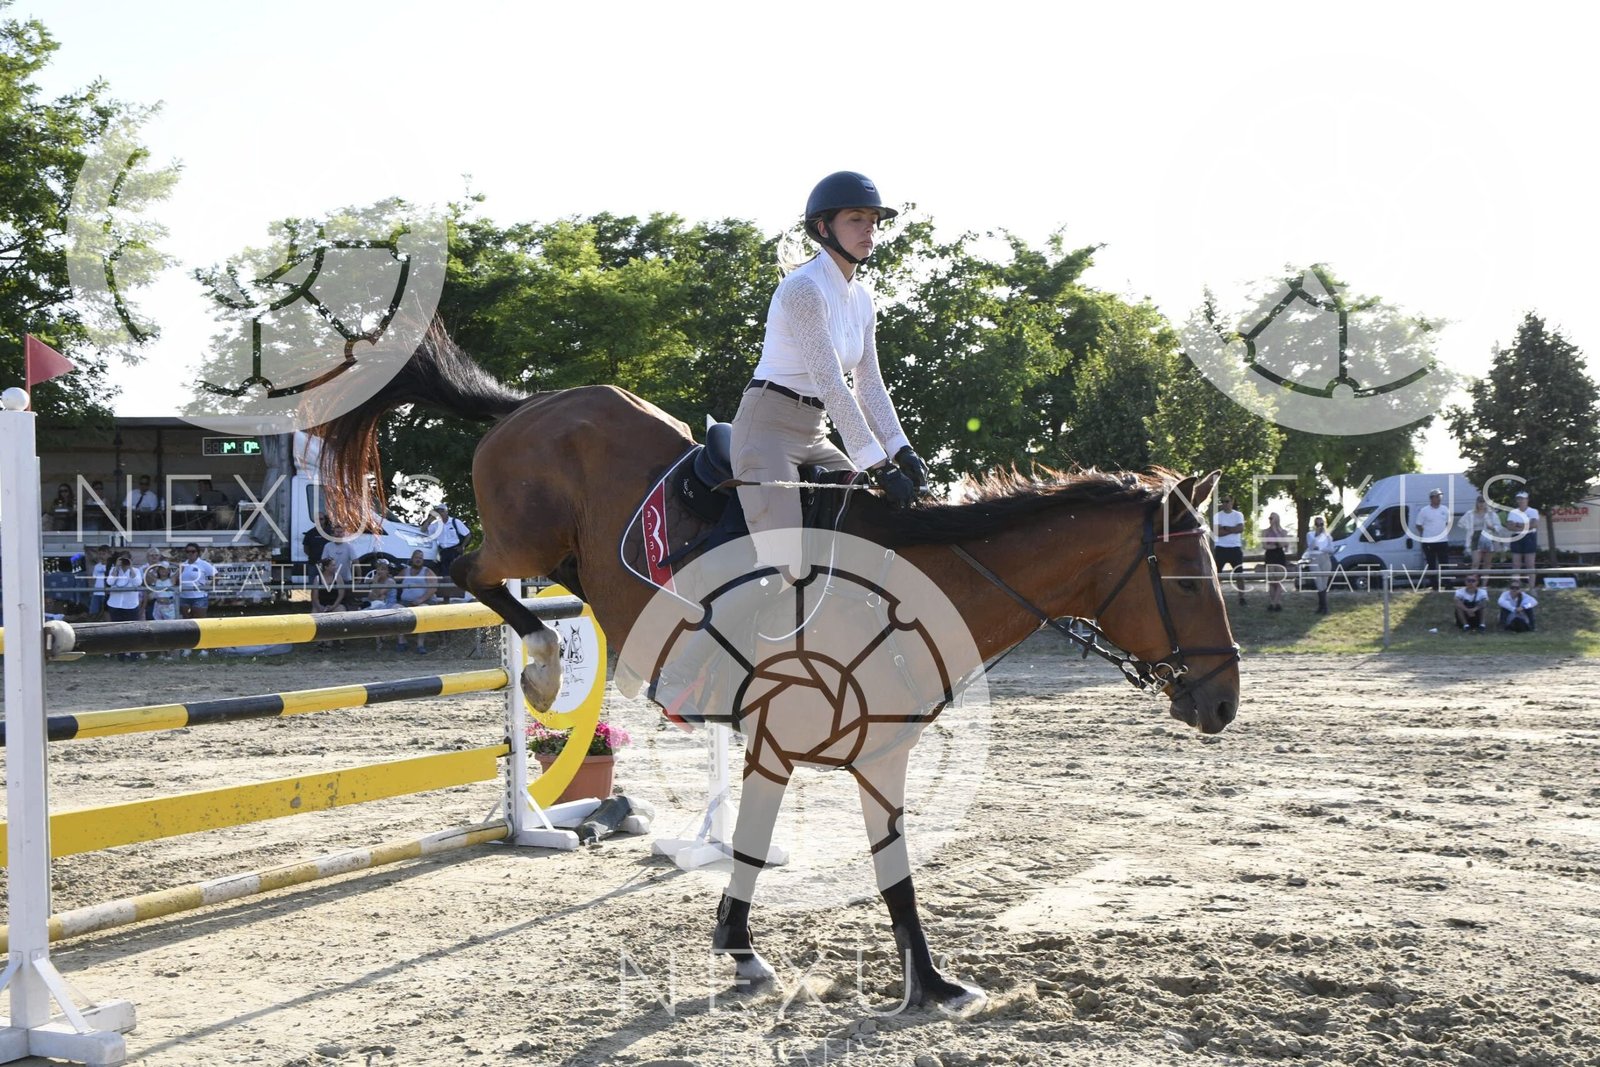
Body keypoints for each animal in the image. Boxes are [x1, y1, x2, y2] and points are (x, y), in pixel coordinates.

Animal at [316, 320, 1241, 1013]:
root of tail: (532, 402)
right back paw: (542, 661)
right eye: (1189, 579)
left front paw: (928, 982)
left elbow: (889, 870)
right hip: (524, 538)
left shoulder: (878, 754)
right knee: (467, 566)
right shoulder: (781, 740)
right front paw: (743, 950)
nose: (1225, 702)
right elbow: (760, 846)